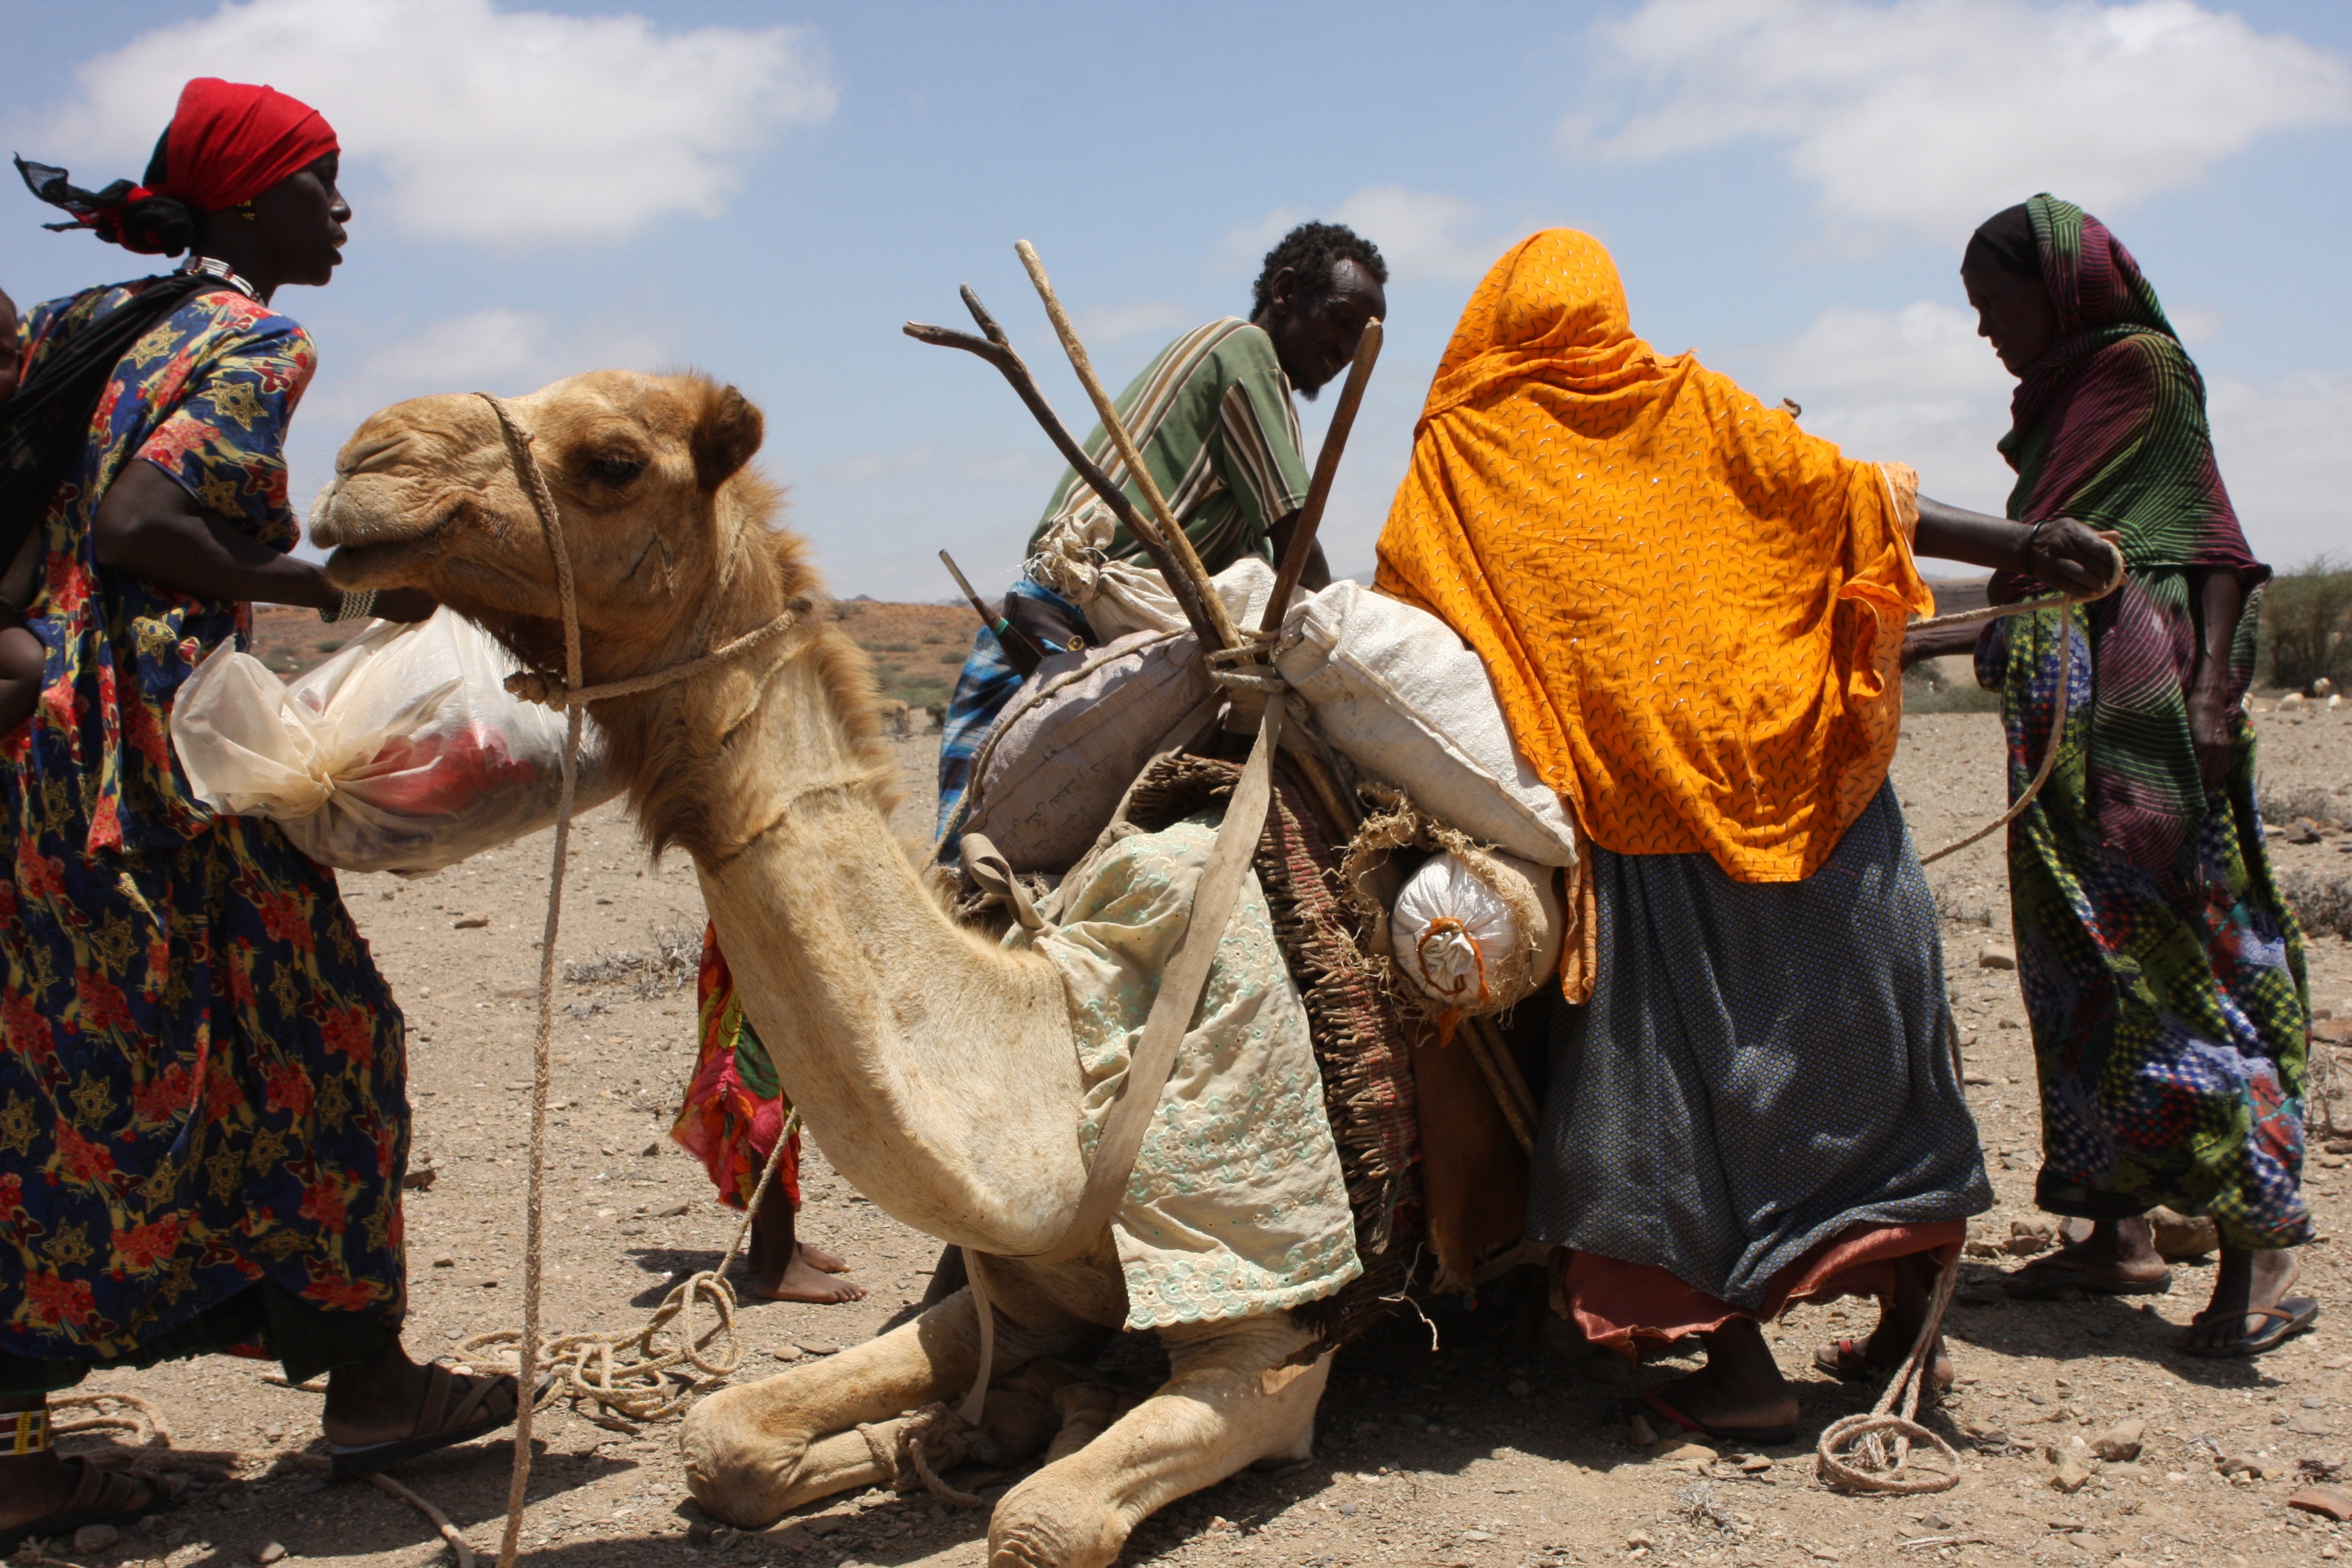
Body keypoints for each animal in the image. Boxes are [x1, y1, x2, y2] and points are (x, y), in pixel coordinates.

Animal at [313, 373, 1345, 1561]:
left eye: (613, 461)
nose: (362, 464)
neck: (1064, 1049)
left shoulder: (1272, 1340)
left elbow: (1041, 1523)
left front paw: (1014, 1430)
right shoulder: (1024, 1295)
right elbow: (723, 1435)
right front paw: (969, 1424)